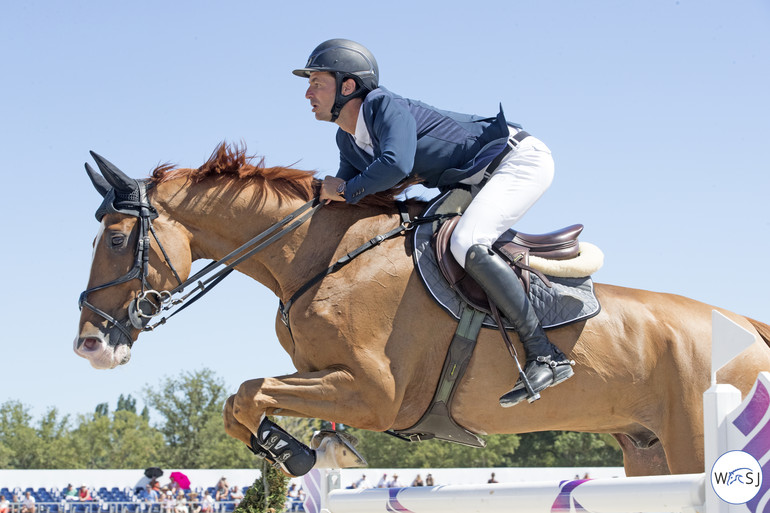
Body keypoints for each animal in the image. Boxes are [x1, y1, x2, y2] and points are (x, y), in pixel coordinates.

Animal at [75, 143, 768, 476]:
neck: (319, 258)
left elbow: (248, 393)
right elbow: (239, 401)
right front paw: (304, 453)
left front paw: (296, 457)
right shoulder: (328, 379)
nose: (90, 345)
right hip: (648, 450)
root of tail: (747, 326)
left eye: (116, 241)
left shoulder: (373, 393)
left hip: (694, 440)